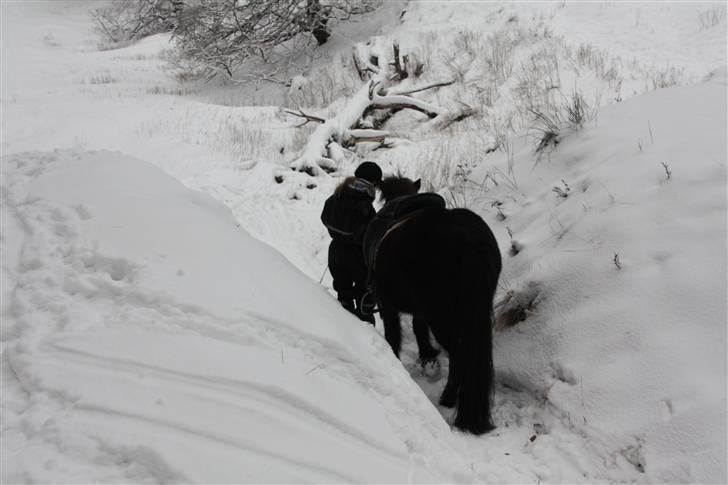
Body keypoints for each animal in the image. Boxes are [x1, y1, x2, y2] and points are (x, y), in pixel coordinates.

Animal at [364, 176, 500, 432]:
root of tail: (468, 240)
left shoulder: (389, 306)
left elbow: (394, 334)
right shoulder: (420, 310)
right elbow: (419, 328)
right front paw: (427, 355)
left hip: (441, 316)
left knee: (459, 355)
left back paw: (448, 398)